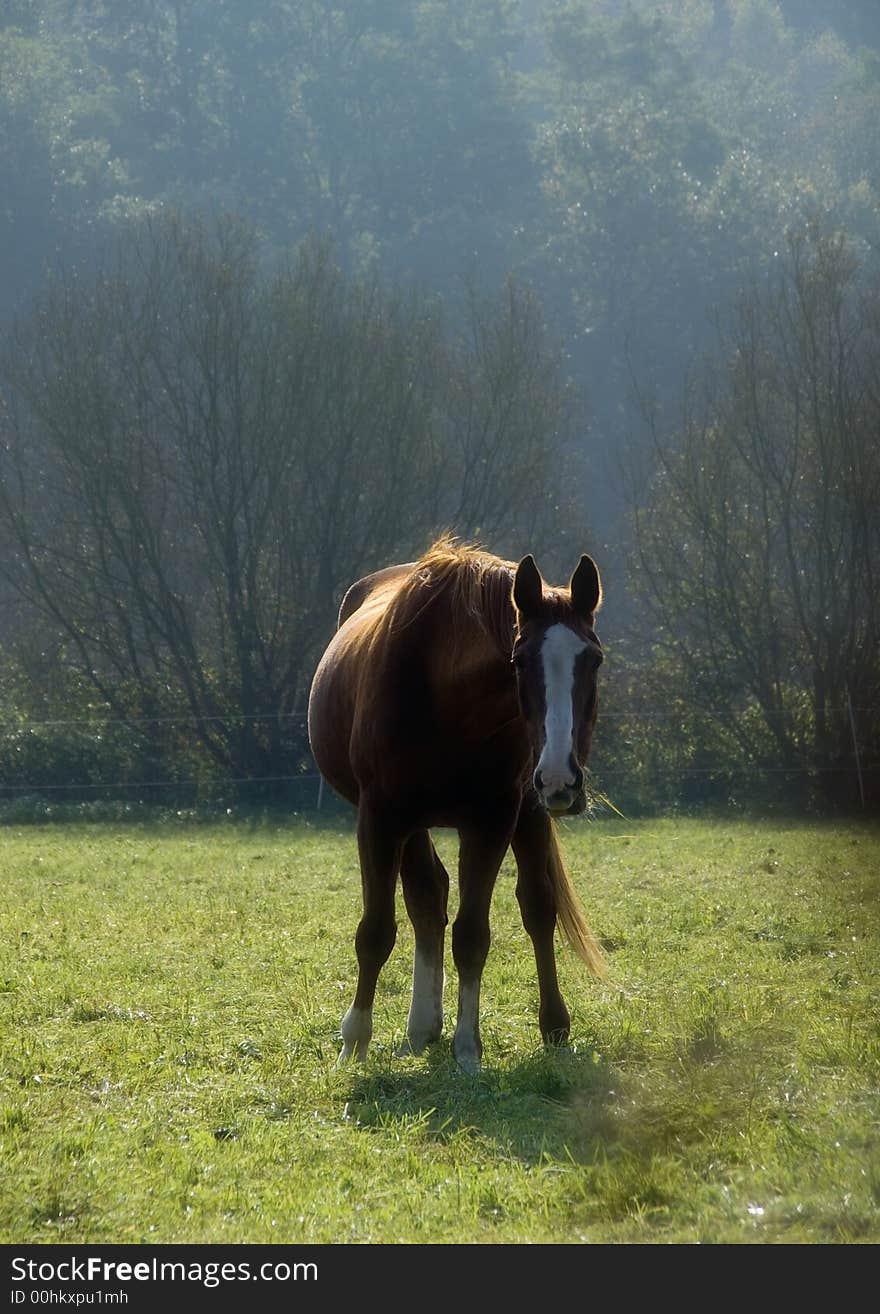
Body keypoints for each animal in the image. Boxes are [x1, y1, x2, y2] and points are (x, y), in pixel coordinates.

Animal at [304, 533, 606, 1066]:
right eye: (518, 660)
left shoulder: (491, 820)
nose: (559, 779)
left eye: (594, 659)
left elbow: (472, 935)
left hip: (527, 813)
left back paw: (551, 1025)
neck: (445, 696)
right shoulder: (381, 819)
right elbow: (375, 931)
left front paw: (468, 1048)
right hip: (415, 823)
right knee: (427, 896)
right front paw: (354, 1042)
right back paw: (421, 1025)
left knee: (536, 906)